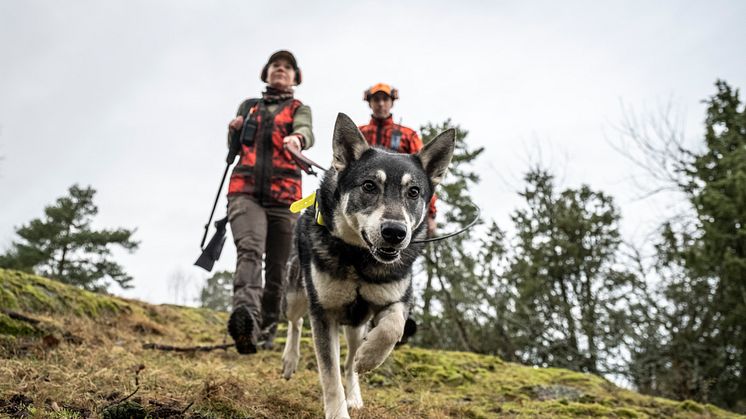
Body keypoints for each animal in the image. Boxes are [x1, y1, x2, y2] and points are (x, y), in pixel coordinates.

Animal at [280, 113, 450, 418]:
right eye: (369, 186)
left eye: (414, 192)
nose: (395, 232)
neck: (360, 260)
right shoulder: (323, 313)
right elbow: (330, 375)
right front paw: (337, 413)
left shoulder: (397, 299)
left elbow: (393, 327)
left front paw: (370, 359)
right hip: (295, 295)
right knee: (295, 321)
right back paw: (290, 360)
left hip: (356, 326)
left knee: (350, 362)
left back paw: (356, 392)